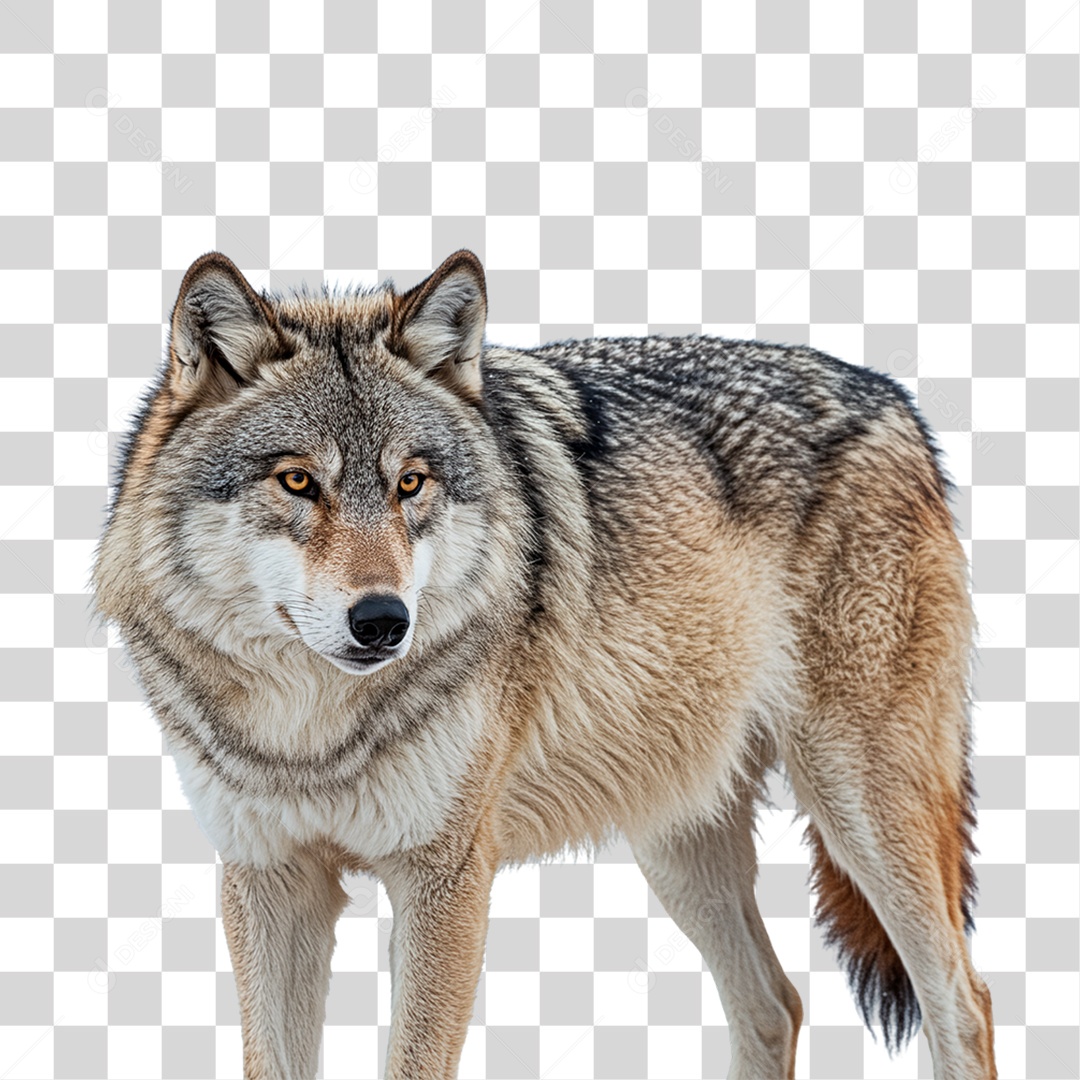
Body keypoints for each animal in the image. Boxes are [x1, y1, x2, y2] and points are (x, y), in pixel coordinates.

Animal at [94, 249, 995, 1079]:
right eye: (297, 481)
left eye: (411, 484)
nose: (383, 622)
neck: (308, 733)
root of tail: (897, 400)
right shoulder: (270, 879)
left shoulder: (445, 879)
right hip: (677, 839)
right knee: (776, 1004)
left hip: (859, 806)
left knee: (964, 1000)